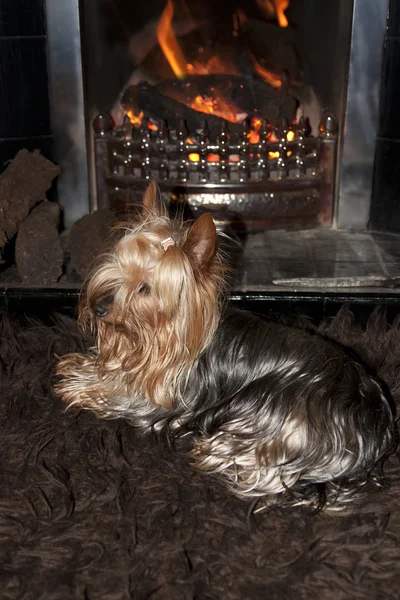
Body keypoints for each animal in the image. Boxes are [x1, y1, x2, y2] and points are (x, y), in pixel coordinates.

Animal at [54, 180, 396, 508]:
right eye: (118, 267)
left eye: (145, 289)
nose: (98, 308)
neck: (151, 338)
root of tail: (373, 438)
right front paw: (81, 367)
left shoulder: (160, 400)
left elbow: (119, 394)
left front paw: (81, 385)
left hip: (272, 422)